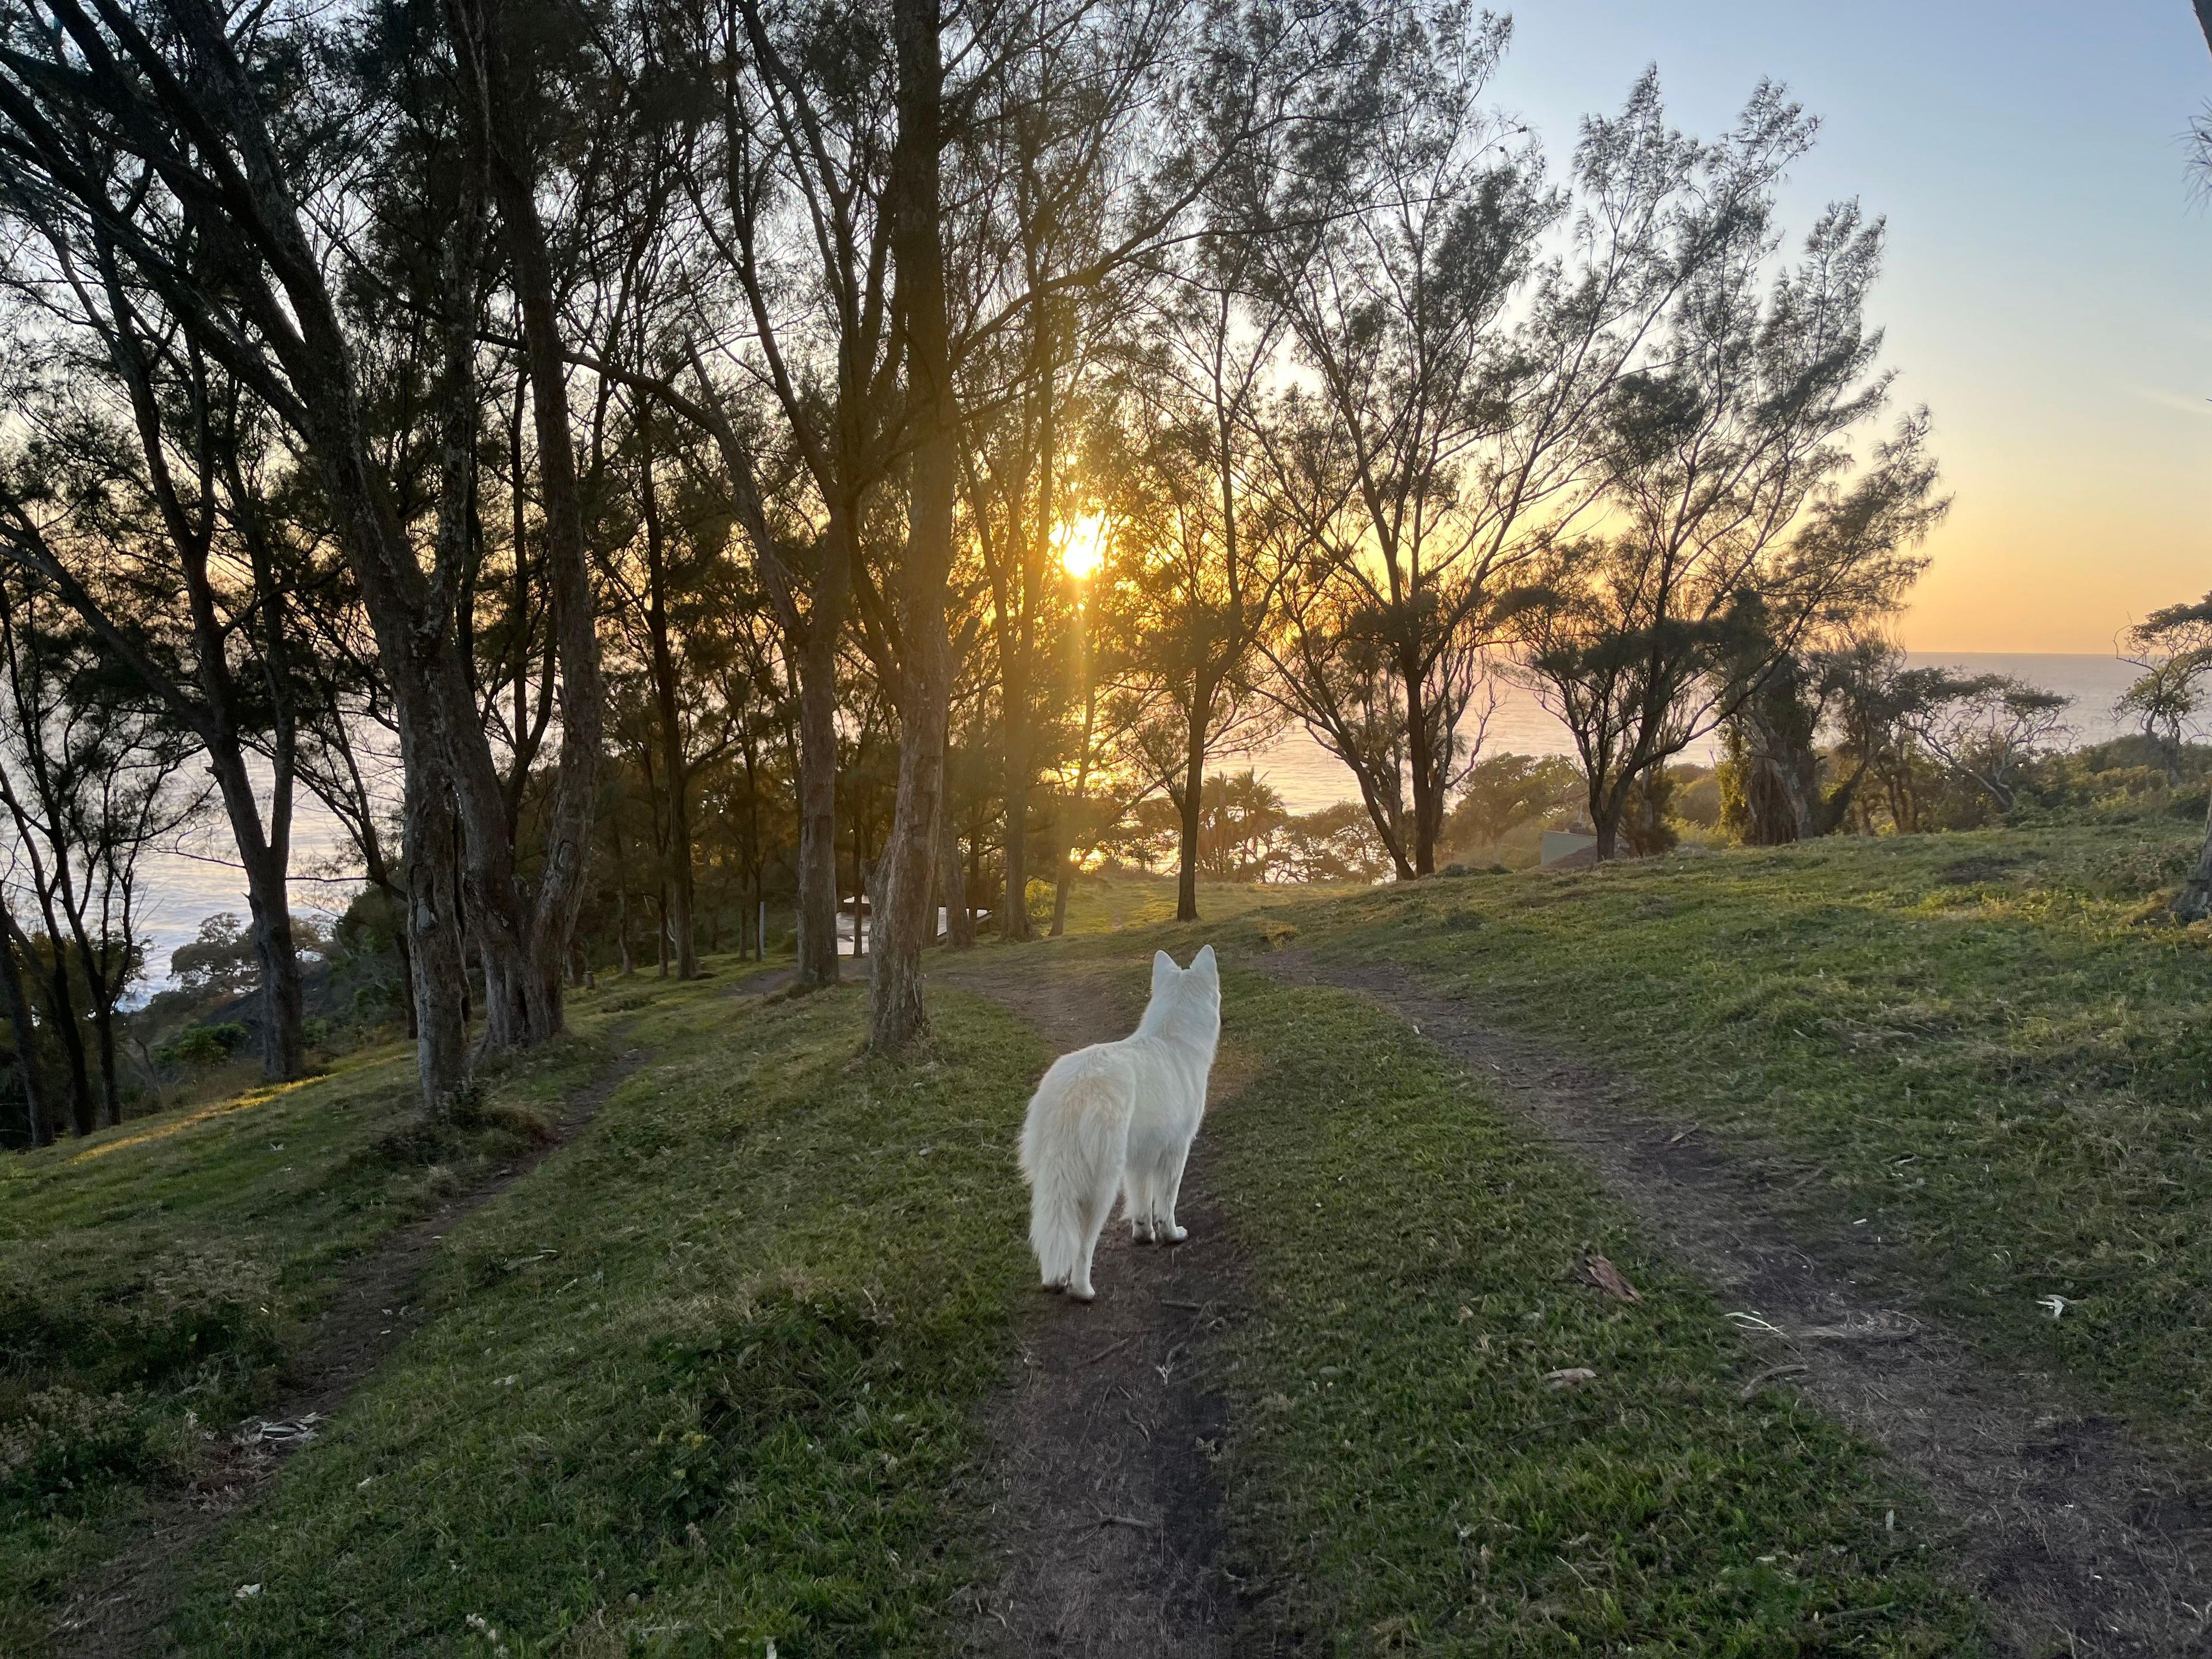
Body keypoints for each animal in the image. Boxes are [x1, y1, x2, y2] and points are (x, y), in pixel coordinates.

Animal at [1022, 946, 1230, 1300]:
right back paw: (1082, 1290)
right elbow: (1166, 1202)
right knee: (1083, 1244)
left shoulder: (1140, 1158)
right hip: (1101, 1183)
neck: (1174, 1039)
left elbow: (1142, 1202)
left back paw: (1054, 1279)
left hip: (1051, 1178)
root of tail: (1076, 1088)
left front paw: (1144, 1234)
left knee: (1052, 1229)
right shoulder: (1175, 1152)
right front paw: (1171, 1235)